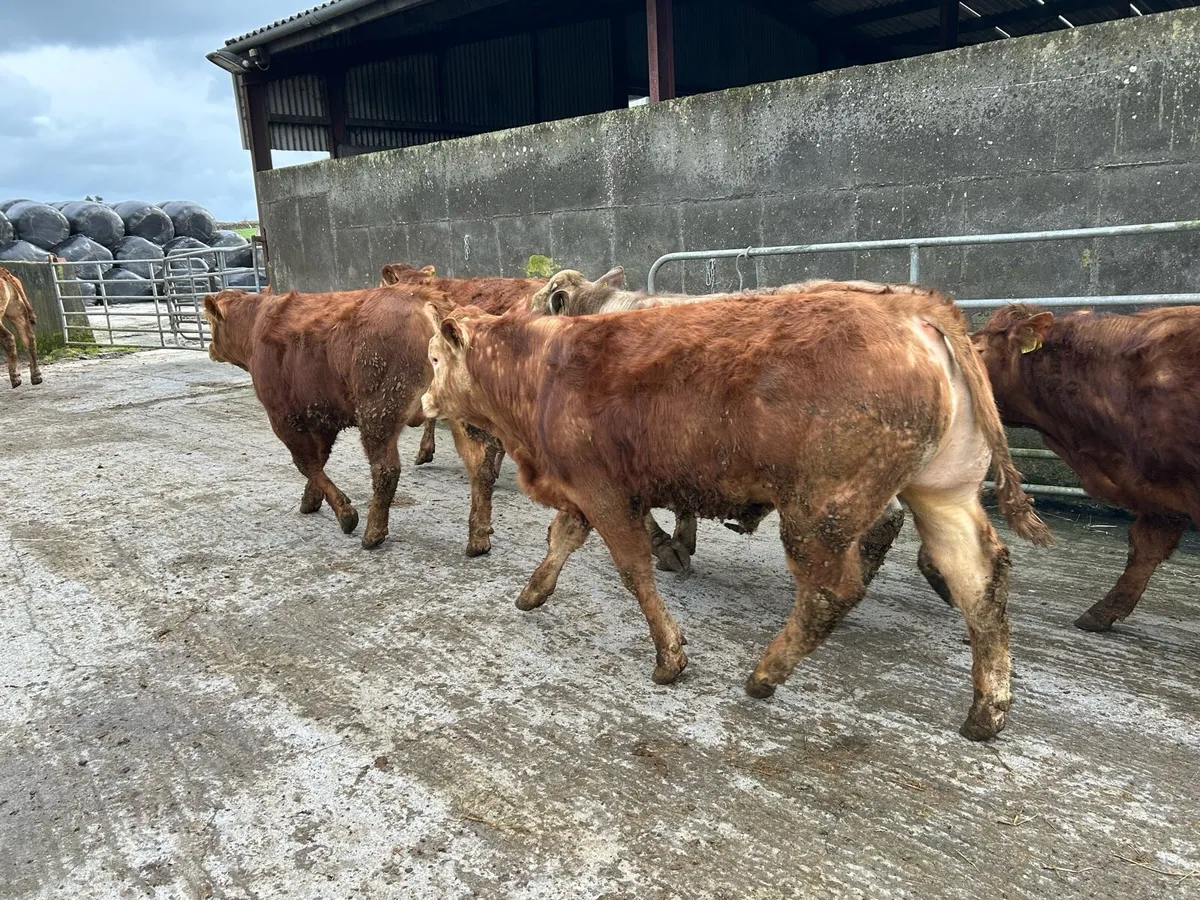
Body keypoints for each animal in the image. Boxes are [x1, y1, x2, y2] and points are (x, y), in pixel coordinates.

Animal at [202, 286, 502, 556]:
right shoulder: (322, 418)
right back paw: (478, 538)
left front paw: (345, 513)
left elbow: (307, 464)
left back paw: (373, 533)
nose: (210, 348)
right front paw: (311, 499)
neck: (258, 324)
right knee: (481, 466)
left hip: (377, 414)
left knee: (386, 471)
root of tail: (427, 301)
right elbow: (318, 461)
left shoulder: (285, 418)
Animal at [422, 288, 1051, 740]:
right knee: (980, 581)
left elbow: (634, 569)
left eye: (432, 358)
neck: (539, 370)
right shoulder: (583, 494)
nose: (425, 399)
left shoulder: (604, 492)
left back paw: (765, 675)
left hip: (818, 511)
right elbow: (561, 538)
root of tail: (910, 308)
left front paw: (669, 656)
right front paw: (533, 592)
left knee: (832, 590)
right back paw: (987, 712)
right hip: (942, 494)